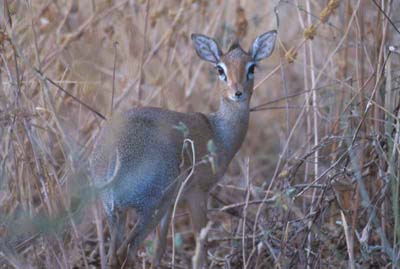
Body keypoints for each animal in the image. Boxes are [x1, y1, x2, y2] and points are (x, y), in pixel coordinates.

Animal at [90, 29, 278, 266]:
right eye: (220, 69)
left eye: (251, 67)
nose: (238, 92)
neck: (218, 131)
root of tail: (113, 157)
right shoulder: (197, 193)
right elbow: (200, 245)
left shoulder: (172, 205)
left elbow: (159, 248)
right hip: (149, 208)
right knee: (127, 251)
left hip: (116, 213)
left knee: (113, 256)